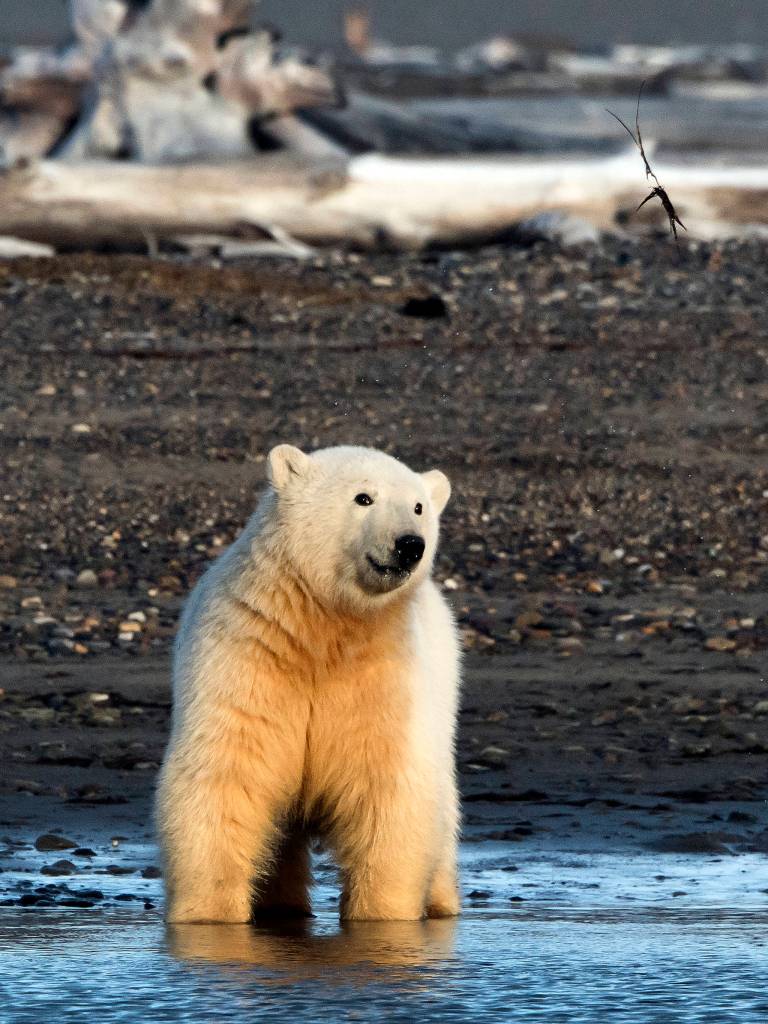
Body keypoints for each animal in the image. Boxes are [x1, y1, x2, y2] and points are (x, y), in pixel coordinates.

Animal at [155, 443, 461, 924]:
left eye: (418, 506)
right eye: (363, 498)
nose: (410, 544)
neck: (322, 628)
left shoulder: (383, 676)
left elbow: (387, 787)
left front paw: (382, 914)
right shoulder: (249, 654)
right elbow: (226, 773)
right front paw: (209, 914)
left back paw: (441, 901)